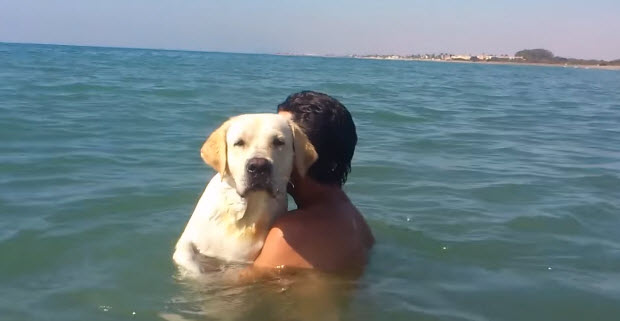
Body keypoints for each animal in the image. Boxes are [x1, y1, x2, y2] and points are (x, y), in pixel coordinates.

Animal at [173, 113, 314, 276]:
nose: (258, 166)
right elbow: (189, 259)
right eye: (239, 143)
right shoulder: (188, 240)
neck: (245, 212)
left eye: (279, 142)